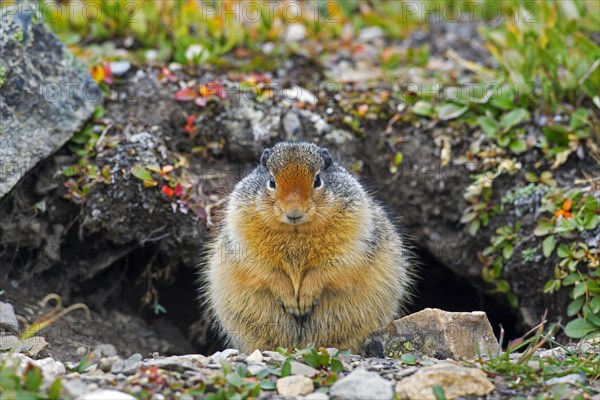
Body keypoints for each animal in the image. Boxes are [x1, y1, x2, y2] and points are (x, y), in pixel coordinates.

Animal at [204, 142, 414, 352]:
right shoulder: (244, 244)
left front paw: (304, 301)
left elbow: (326, 271)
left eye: (318, 180)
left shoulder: (351, 244)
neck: (296, 232)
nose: (294, 211)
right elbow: (267, 271)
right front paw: (291, 301)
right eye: (271, 181)